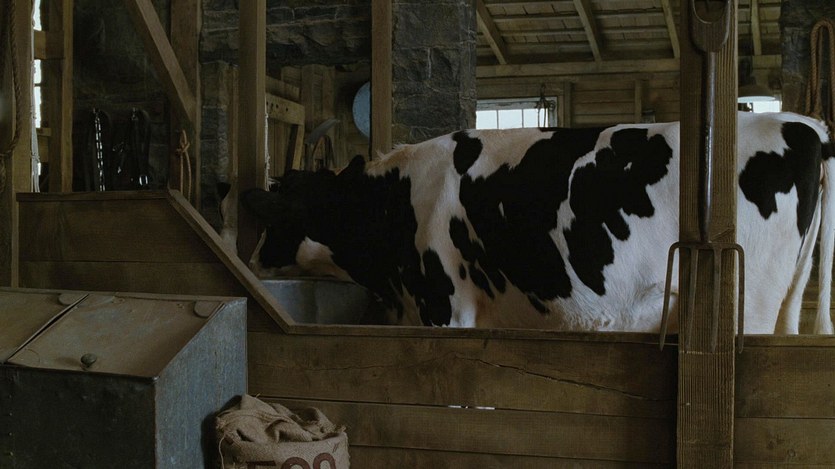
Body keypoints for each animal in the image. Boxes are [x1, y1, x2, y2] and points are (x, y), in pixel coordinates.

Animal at [240, 111, 835, 335]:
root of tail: (802, 122)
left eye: (278, 208)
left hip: (747, 309)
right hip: (785, 305)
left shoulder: (446, 308)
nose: (249, 259)